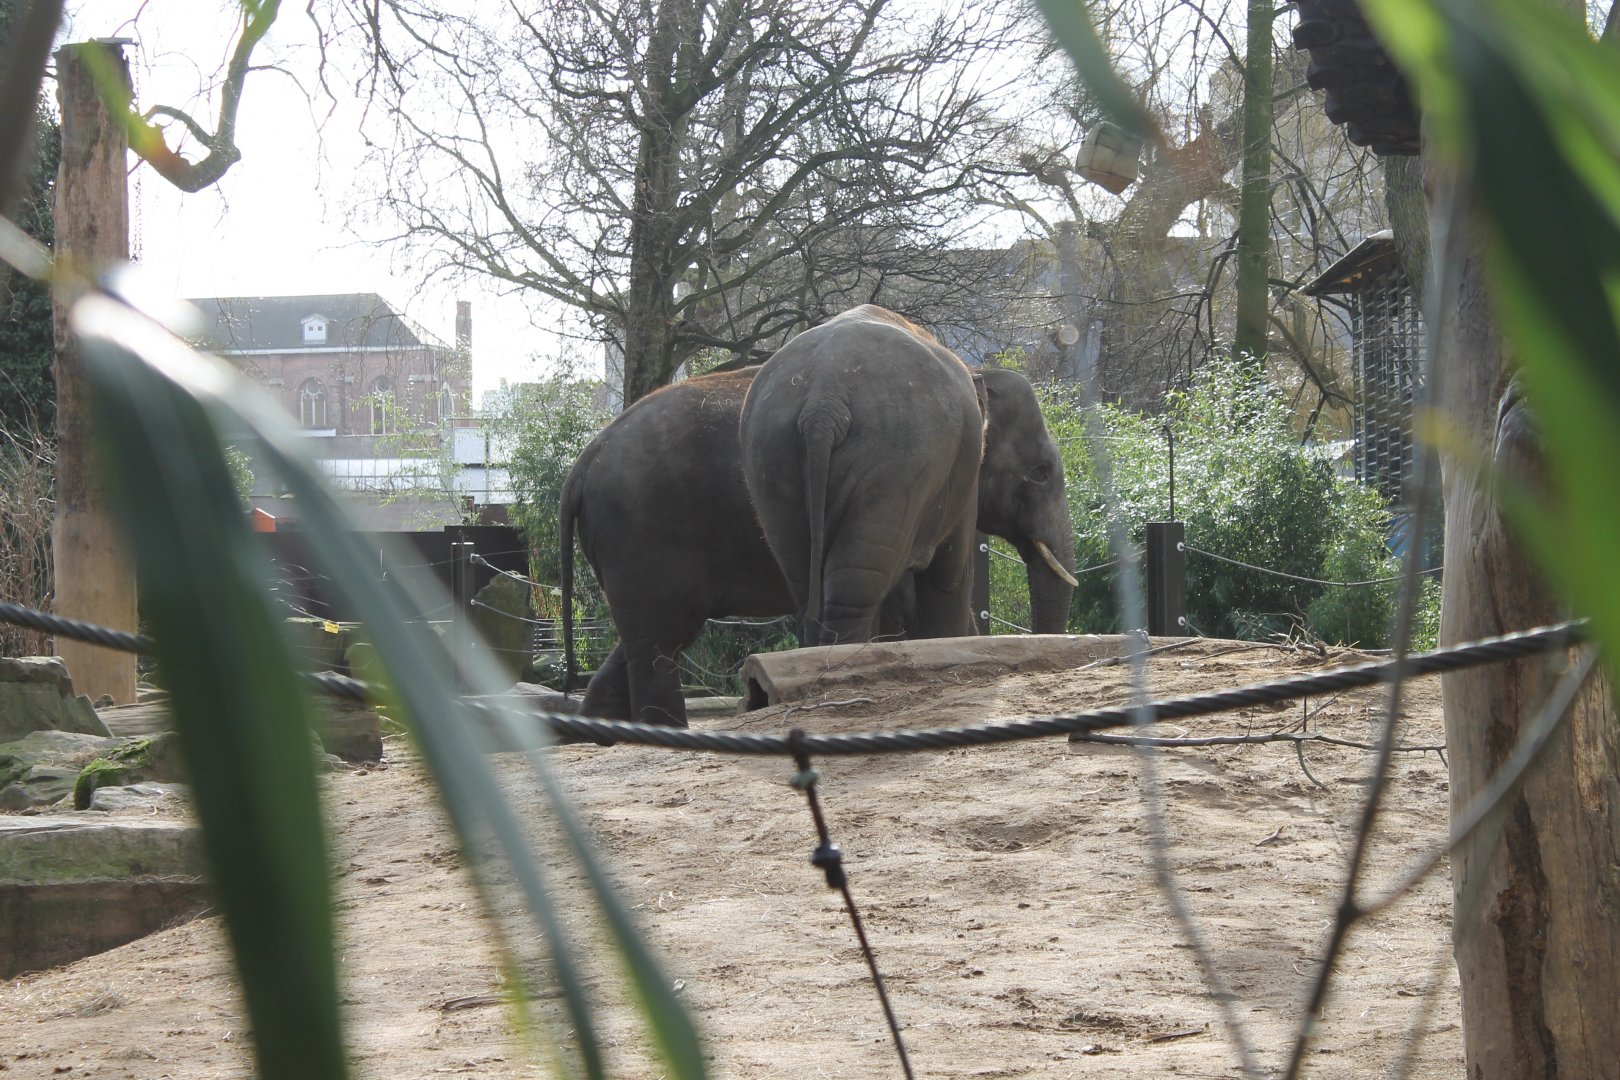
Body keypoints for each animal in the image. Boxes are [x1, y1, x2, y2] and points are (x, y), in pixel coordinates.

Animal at [740, 305, 1077, 646]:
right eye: (1041, 472)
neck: (980, 369)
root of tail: (823, 404)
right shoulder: (962, 479)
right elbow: (949, 577)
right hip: (893, 468)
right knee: (854, 593)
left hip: (772, 462)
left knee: (810, 585)